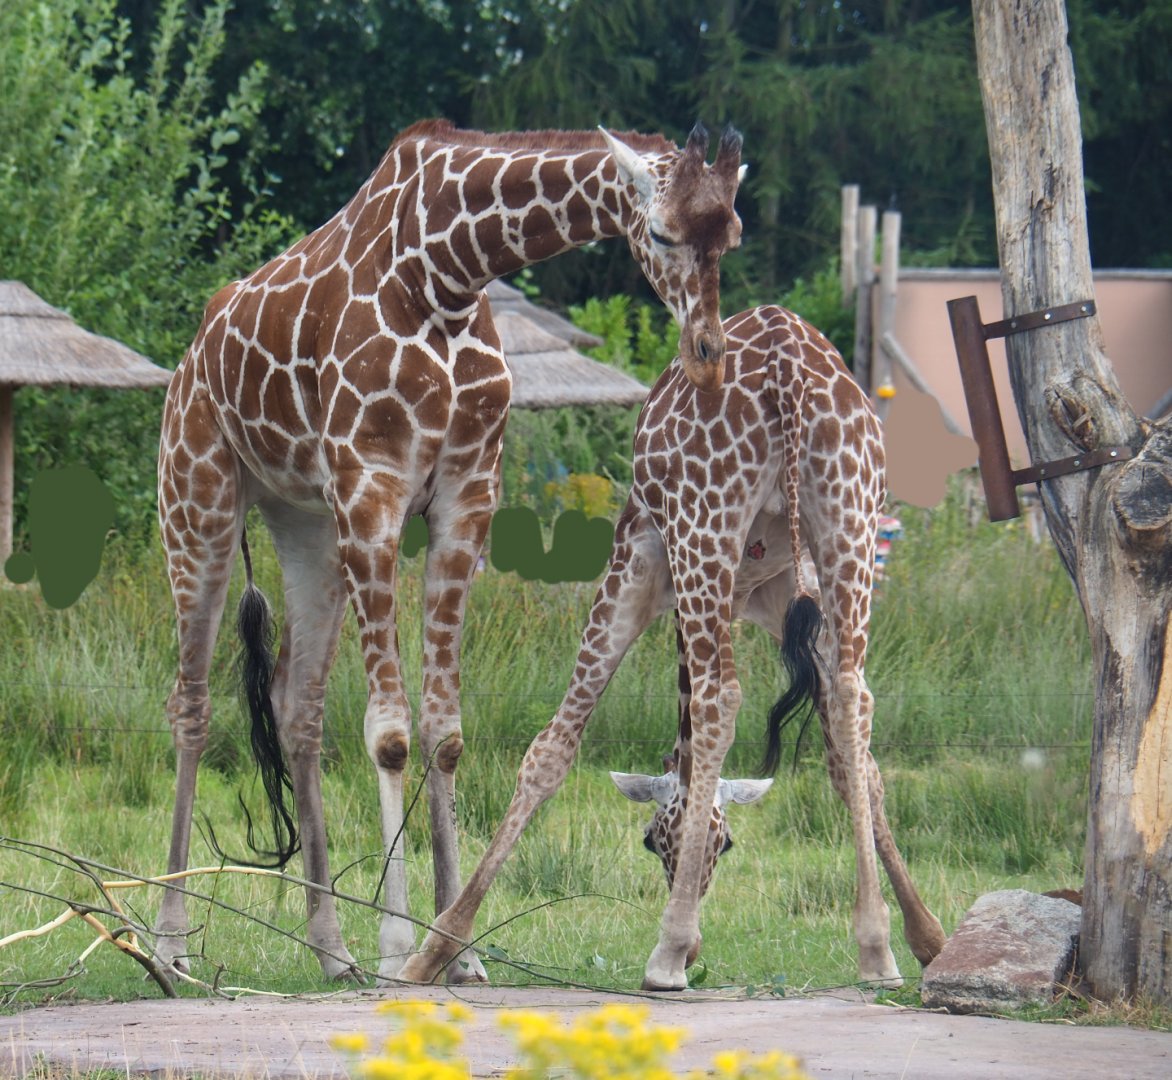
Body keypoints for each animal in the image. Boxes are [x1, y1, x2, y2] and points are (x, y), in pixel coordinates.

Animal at [154, 119, 744, 985]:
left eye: (730, 233)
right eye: (664, 232)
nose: (706, 354)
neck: (448, 271)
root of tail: (192, 353)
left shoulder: (466, 497)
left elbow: (445, 732)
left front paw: (456, 953)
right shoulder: (373, 491)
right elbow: (393, 734)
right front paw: (401, 946)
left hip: (306, 525)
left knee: (297, 707)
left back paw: (329, 946)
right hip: (198, 499)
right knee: (192, 704)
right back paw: (169, 943)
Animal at [400, 303, 947, 990]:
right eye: (659, 842)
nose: (699, 951)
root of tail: (789, 360)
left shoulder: (634, 567)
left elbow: (551, 749)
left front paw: (437, 947)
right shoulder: (787, 601)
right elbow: (857, 769)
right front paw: (924, 937)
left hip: (703, 528)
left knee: (721, 697)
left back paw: (665, 954)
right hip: (853, 524)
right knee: (855, 695)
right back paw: (873, 947)